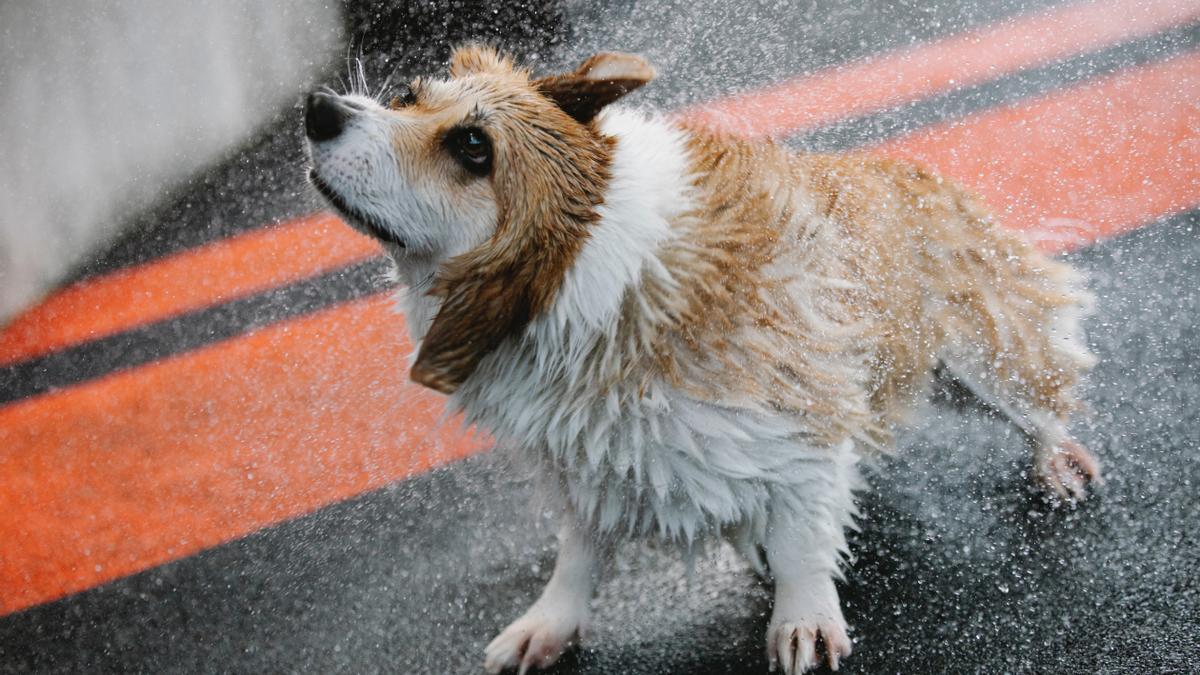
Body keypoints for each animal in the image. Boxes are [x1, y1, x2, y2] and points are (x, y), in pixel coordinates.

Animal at [304, 44, 1099, 667]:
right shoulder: (585, 459)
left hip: (978, 362)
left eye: (474, 147)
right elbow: (578, 551)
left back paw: (1058, 459)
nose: (319, 109)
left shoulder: (802, 407)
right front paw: (548, 623)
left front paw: (803, 618)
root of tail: (915, 170)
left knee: (1041, 398)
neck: (582, 277)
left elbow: (805, 528)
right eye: (408, 97)